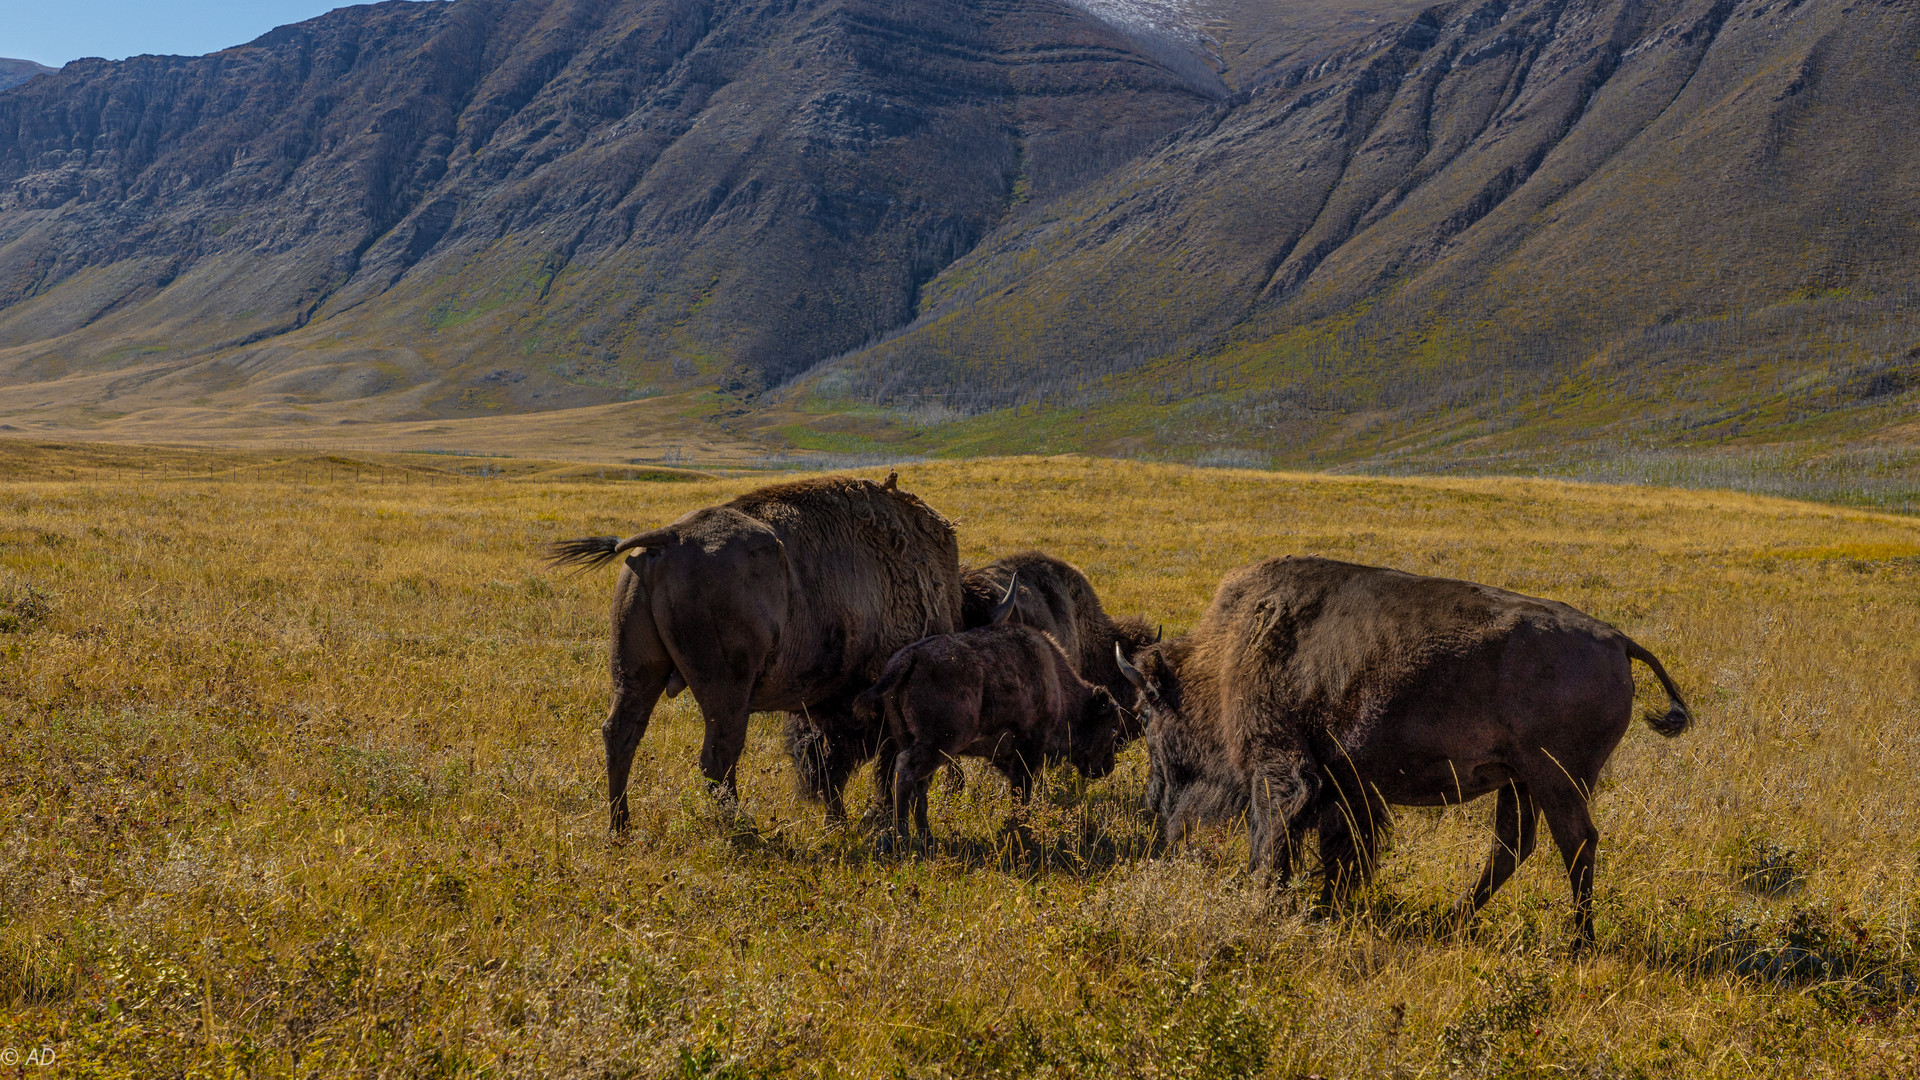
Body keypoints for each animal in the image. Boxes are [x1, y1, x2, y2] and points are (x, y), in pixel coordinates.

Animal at [549, 466, 967, 826]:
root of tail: (668, 537)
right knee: (719, 755)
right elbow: (869, 762)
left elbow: (829, 761)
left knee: (622, 734)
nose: (958, 783)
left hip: (636, 670)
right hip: (727, 688)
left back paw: (620, 829)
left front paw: (842, 821)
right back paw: (742, 826)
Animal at [856, 580, 1121, 841]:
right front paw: (1020, 830)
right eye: (1112, 727)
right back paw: (903, 836)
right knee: (906, 772)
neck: (1055, 680)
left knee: (918, 788)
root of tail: (909, 657)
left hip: (910, 739)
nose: (1107, 766)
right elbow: (1021, 794)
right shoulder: (1028, 751)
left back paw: (927, 839)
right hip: (939, 744)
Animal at [1121, 553, 1689, 941]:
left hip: (1558, 780)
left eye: (1147, 713)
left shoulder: (1280, 769)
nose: (1153, 799)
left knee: (1575, 845)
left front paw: (1268, 904)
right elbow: (1343, 852)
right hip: (1524, 782)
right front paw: (1325, 910)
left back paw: (1578, 943)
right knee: (1513, 846)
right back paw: (1451, 921)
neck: (1231, 651)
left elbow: (1274, 841)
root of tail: (1618, 640)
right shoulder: (1345, 787)